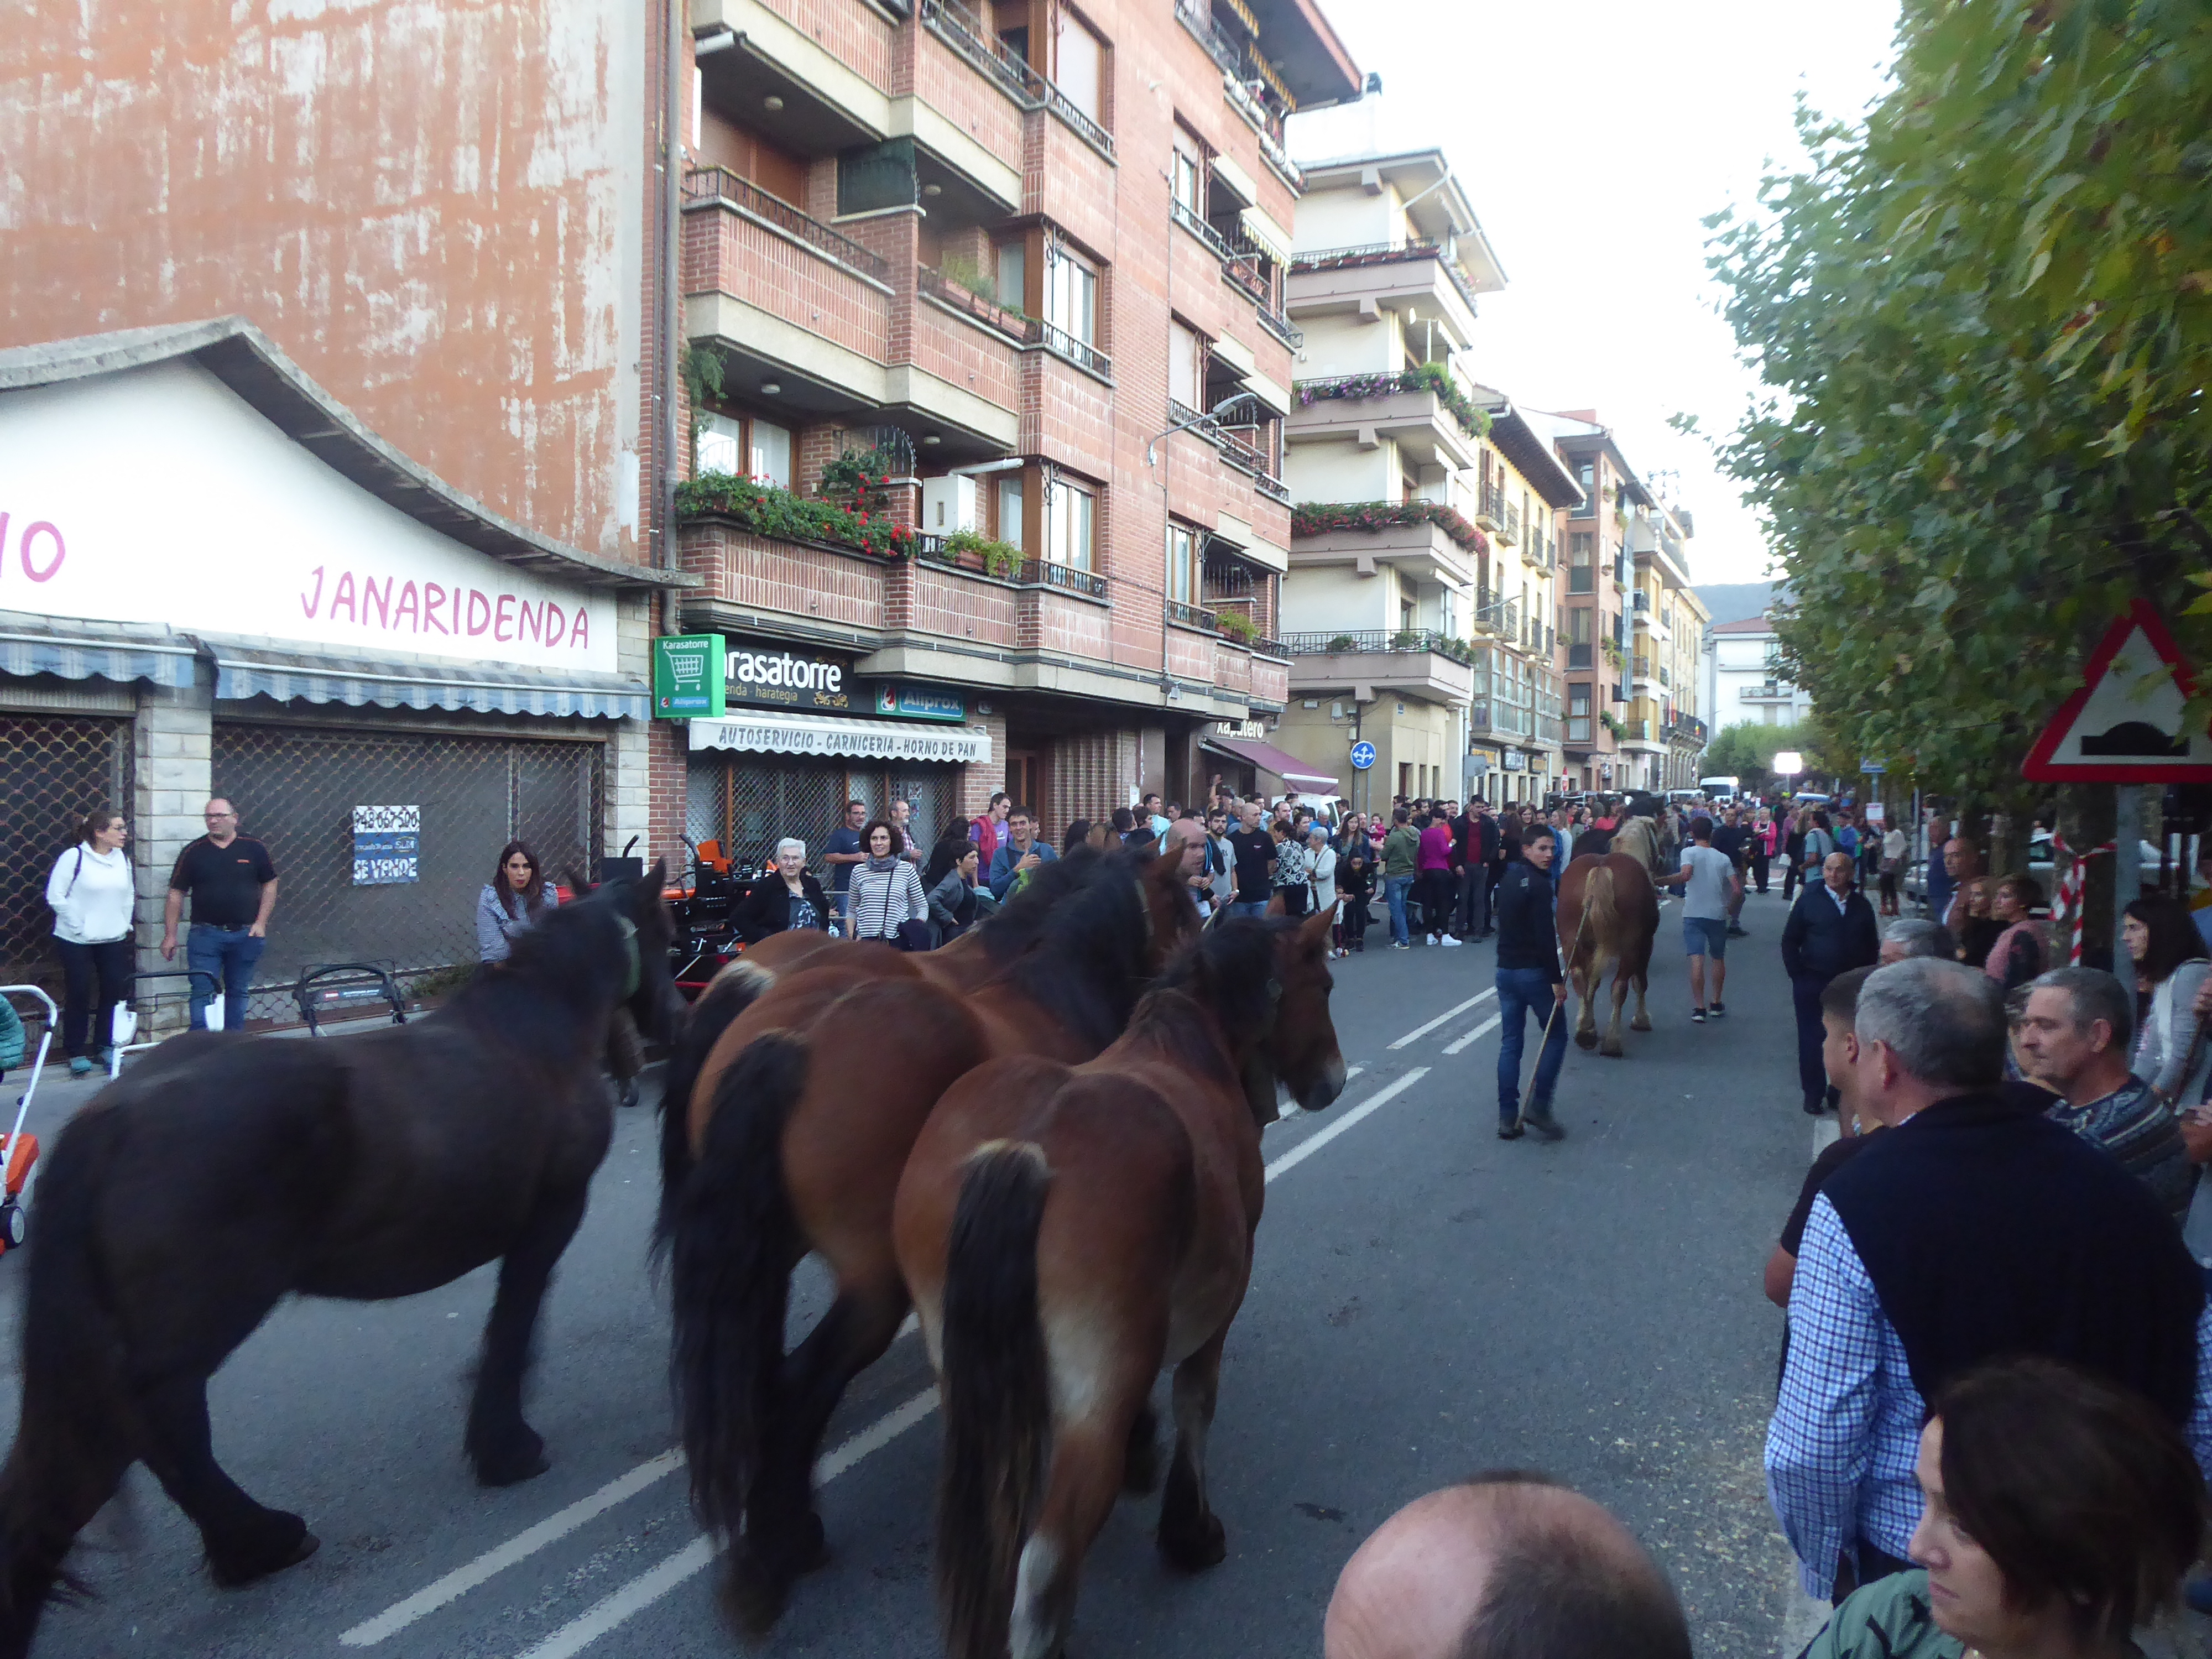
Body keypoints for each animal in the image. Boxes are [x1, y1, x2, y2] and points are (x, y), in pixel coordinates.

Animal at [0, 868, 679, 1659]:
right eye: (665, 935)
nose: (673, 1016)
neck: (535, 1033)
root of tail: (111, 1116)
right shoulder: (550, 1219)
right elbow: (514, 1327)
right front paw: (507, 1448)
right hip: (205, 1313)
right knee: (159, 1421)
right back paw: (258, 1540)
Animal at [665, 842, 1202, 1632]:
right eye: (1184, 906)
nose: (1194, 968)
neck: (1047, 989)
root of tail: (792, 1039)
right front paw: (1138, 1443)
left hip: (763, 1249)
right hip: (871, 1282)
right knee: (799, 1385)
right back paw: (783, 1546)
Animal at [891, 907, 1345, 1659]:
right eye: (1327, 982)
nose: (1333, 1080)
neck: (1190, 1048)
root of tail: (1023, 1154)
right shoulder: (1216, 1310)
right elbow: (1196, 1401)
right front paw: (1190, 1531)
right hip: (1092, 1402)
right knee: (1046, 1560)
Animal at [1557, 813, 1661, 1057]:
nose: (1661, 860)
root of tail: (1600, 870)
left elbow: (1592, 985)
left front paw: (1586, 1023)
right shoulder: (1646, 944)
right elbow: (1639, 982)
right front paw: (1641, 1019)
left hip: (1571, 942)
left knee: (1579, 978)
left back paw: (1586, 1033)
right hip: (1631, 946)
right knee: (1619, 987)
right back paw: (1613, 1042)